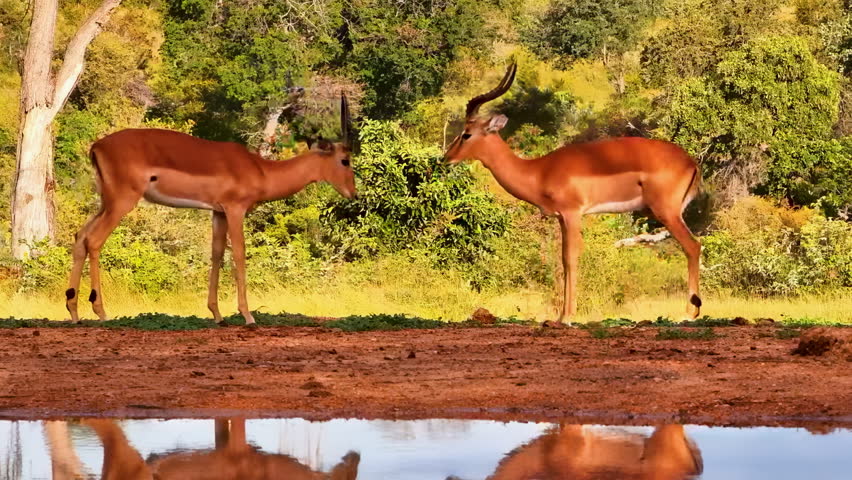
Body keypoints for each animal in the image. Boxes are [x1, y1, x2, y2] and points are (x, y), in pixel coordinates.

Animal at [65, 95, 356, 327]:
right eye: (345, 160)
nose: (353, 193)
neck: (261, 170)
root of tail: (97, 147)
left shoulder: (218, 212)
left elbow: (216, 254)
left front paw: (217, 315)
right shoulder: (236, 209)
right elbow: (239, 254)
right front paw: (248, 316)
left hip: (105, 203)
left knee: (80, 237)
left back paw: (74, 311)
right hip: (122, 202)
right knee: (94, 240)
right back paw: (101, 312)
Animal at [444, 64, 702, 324]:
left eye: (466, 133)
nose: (445, 158)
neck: (538, 171)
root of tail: (691, 162)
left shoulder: (573, 214)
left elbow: (571, 259)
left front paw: (566, 316)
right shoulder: (561, 218)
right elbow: (562, 259)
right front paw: (560, 315)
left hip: (666, 213)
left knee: (693, 246)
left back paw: (689, 313)